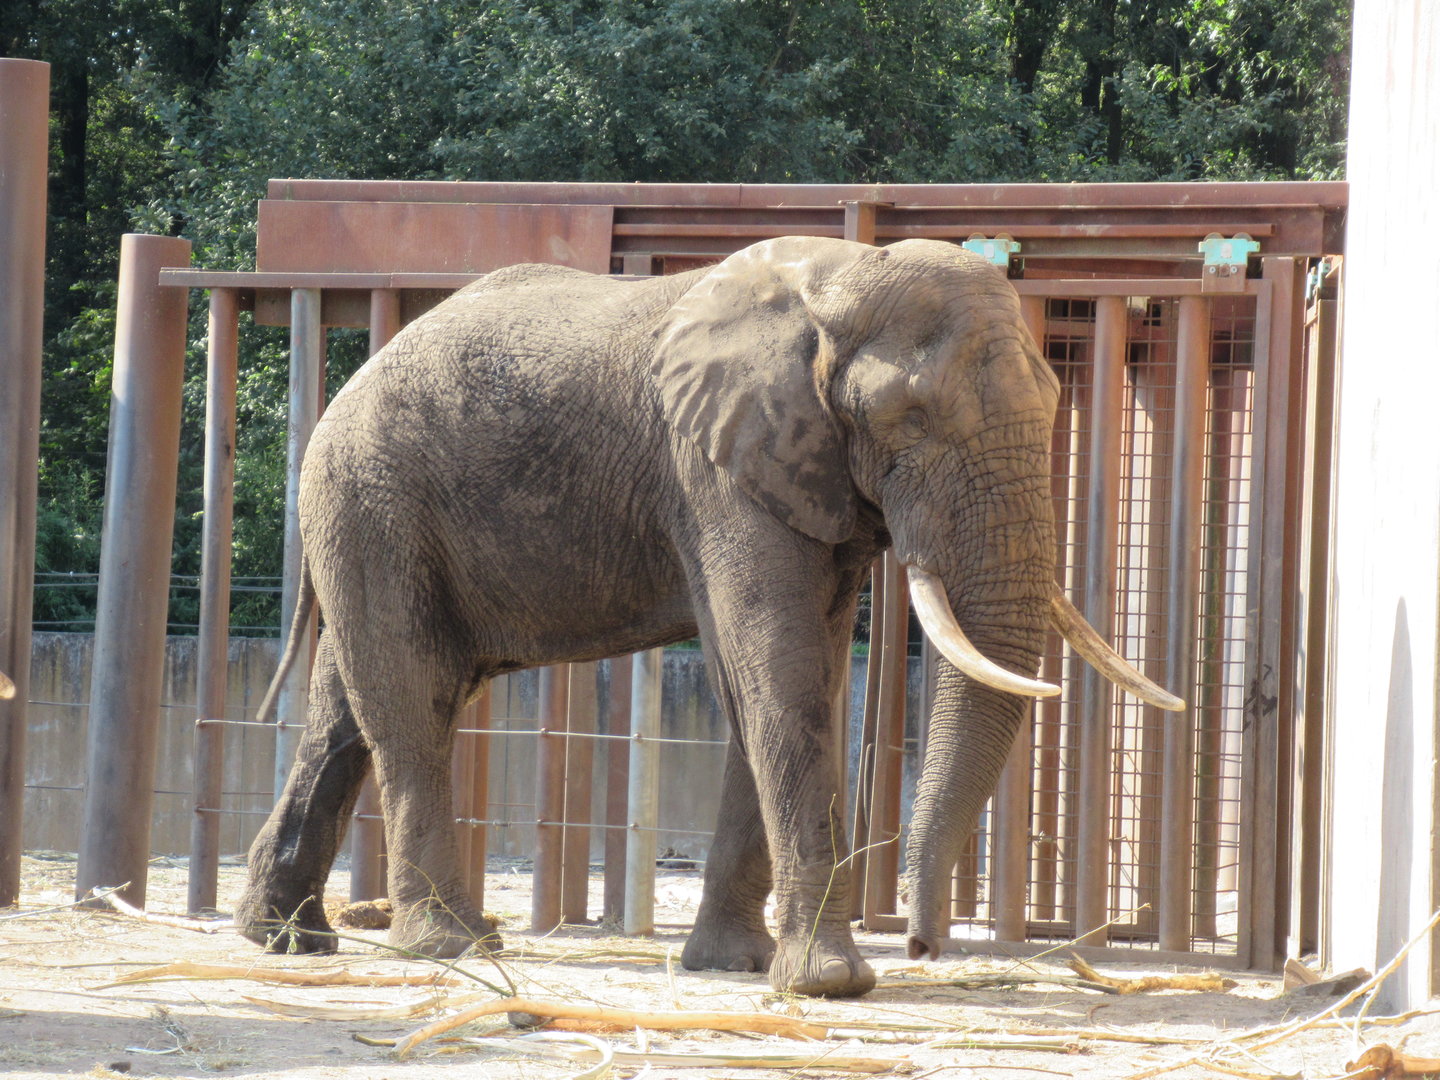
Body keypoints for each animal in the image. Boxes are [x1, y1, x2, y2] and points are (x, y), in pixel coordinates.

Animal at [235, 236, 1181, 999]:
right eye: (906, 418)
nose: (921, 945)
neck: (839, 278)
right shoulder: (715, 467)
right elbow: (773, 667)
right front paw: (828, 983)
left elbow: (792, 671)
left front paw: (738, 966)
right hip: (373, 497)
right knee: (413, 701)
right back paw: (451, 946)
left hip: (375, 517)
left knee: (347, 710)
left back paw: (287, 940)